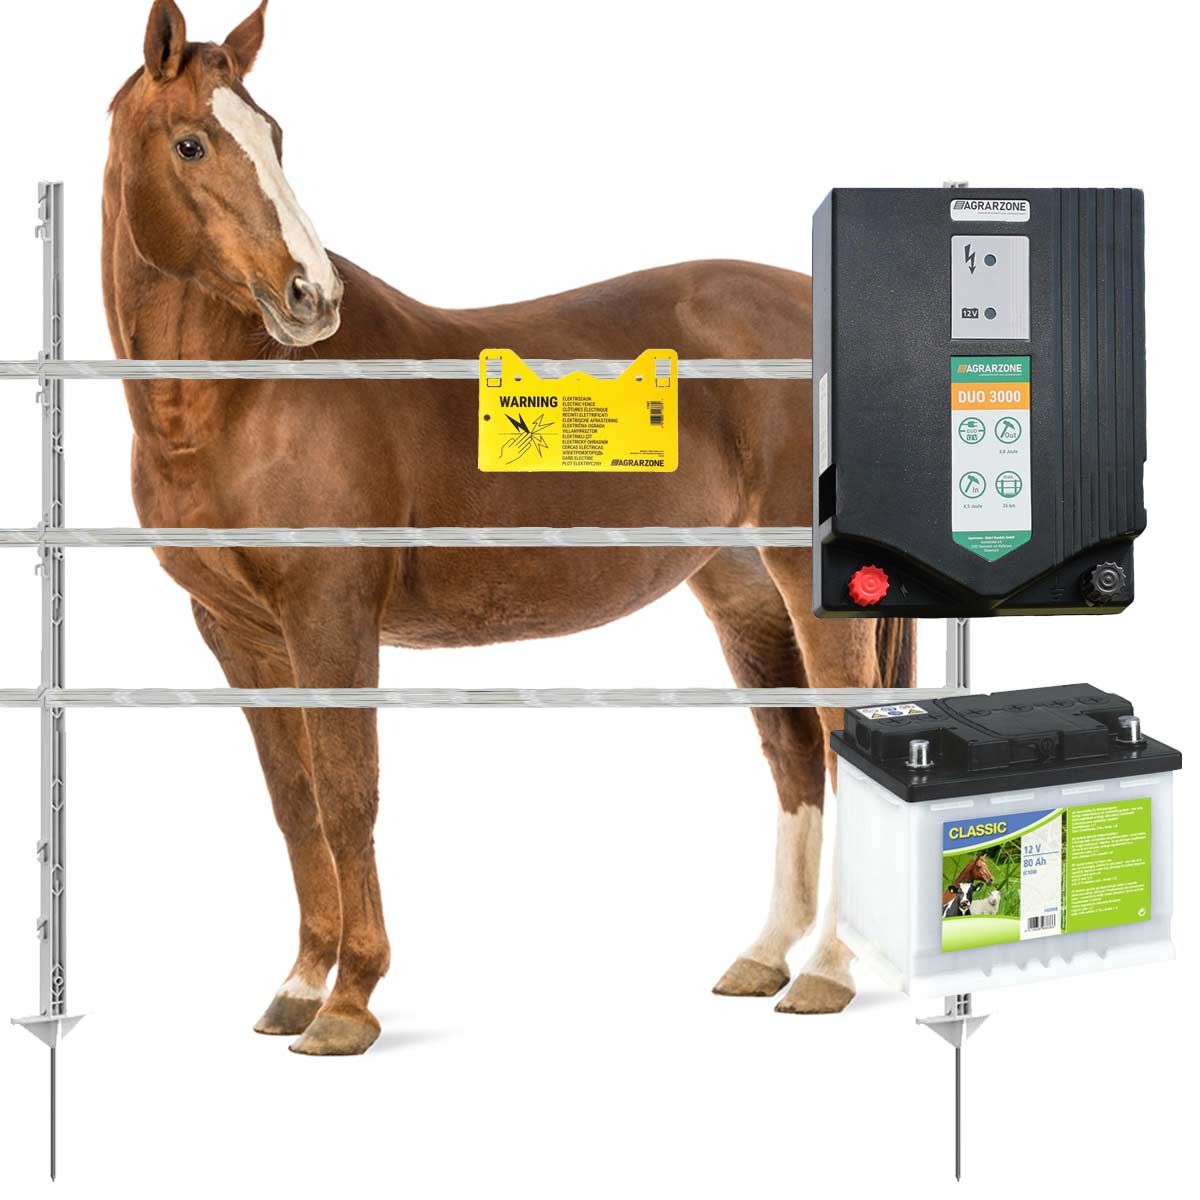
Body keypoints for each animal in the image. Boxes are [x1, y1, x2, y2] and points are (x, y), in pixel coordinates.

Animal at [102, 0, 914, 1055]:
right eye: (192, 143)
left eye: (275, 137)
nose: (310, 297)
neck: (242, 400)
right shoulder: (238, 633)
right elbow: (295, 804)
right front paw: (299, 985)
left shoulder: (331, 614)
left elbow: (348, 795)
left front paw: (349, 1003)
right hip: (741, 588)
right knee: (794, 758)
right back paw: (766, 958)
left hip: (802, 585)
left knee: (840, 740)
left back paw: (824, 972)